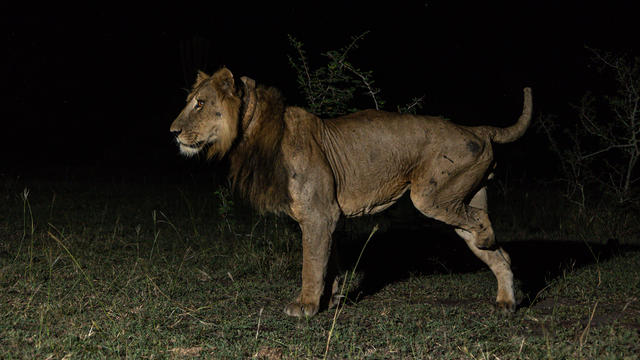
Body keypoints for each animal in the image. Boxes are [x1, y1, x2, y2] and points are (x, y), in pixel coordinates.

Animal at [169, 67, 528, 318]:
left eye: (200, 104)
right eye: (190, 102)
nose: (172, 132)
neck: (252, 132)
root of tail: (476, 129)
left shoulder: (319, 214)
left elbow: (312, 264)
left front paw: (306, 306)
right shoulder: (328, 216)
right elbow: (330, 262)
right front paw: (330, 299)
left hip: (431, 196)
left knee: (481, 223)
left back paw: (488, 243)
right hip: (459, 198)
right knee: (499, 254)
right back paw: (506, 301)